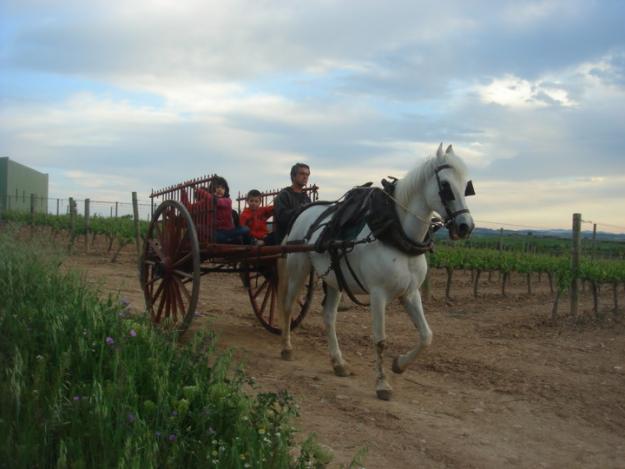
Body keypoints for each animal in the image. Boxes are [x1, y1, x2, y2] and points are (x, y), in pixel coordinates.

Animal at [276, 143, 476, 398]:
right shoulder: (378, 294)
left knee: (329, 317)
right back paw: (286, 348)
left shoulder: (410, 293)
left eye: (466, 186)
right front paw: (383, 384)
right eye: (446, 186)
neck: (395, 232)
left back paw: (338, 363)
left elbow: (426, 336)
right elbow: (380, 340)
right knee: (288, 305)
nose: (465, 226)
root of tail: (303, 213)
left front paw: (399, 364)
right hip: (298, 269)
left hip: (334, 279)